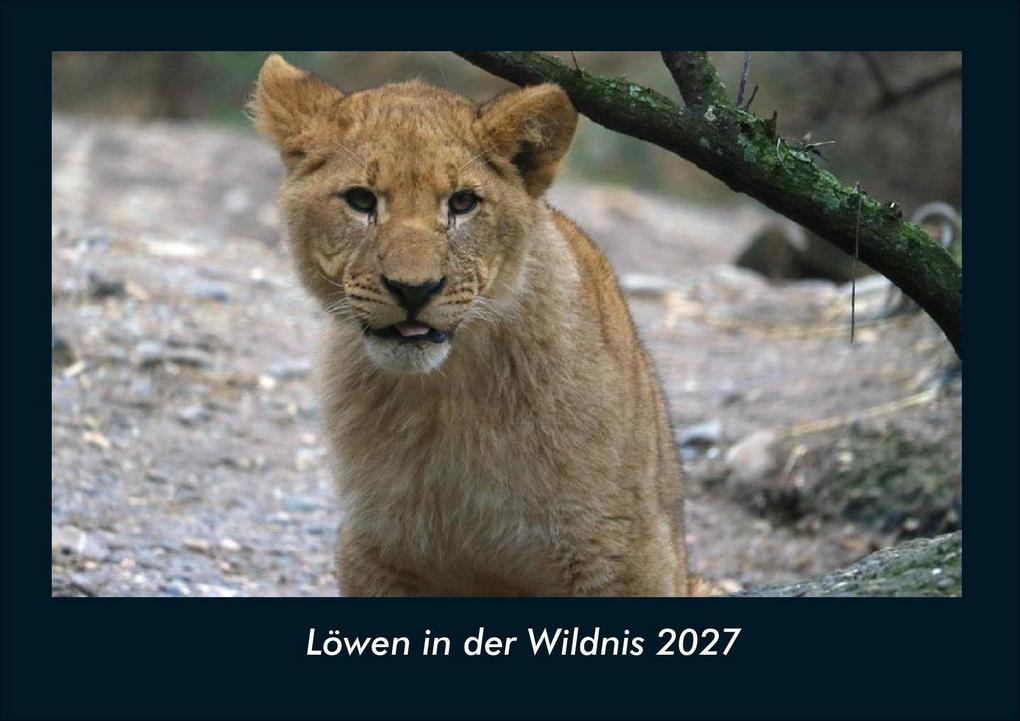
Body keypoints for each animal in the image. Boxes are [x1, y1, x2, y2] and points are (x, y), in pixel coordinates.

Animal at [251, 53, 697, 596]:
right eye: (360, 200)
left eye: (462, 203)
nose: (414, 289)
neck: (446, 398)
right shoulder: (375, 551)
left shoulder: (622, 553)